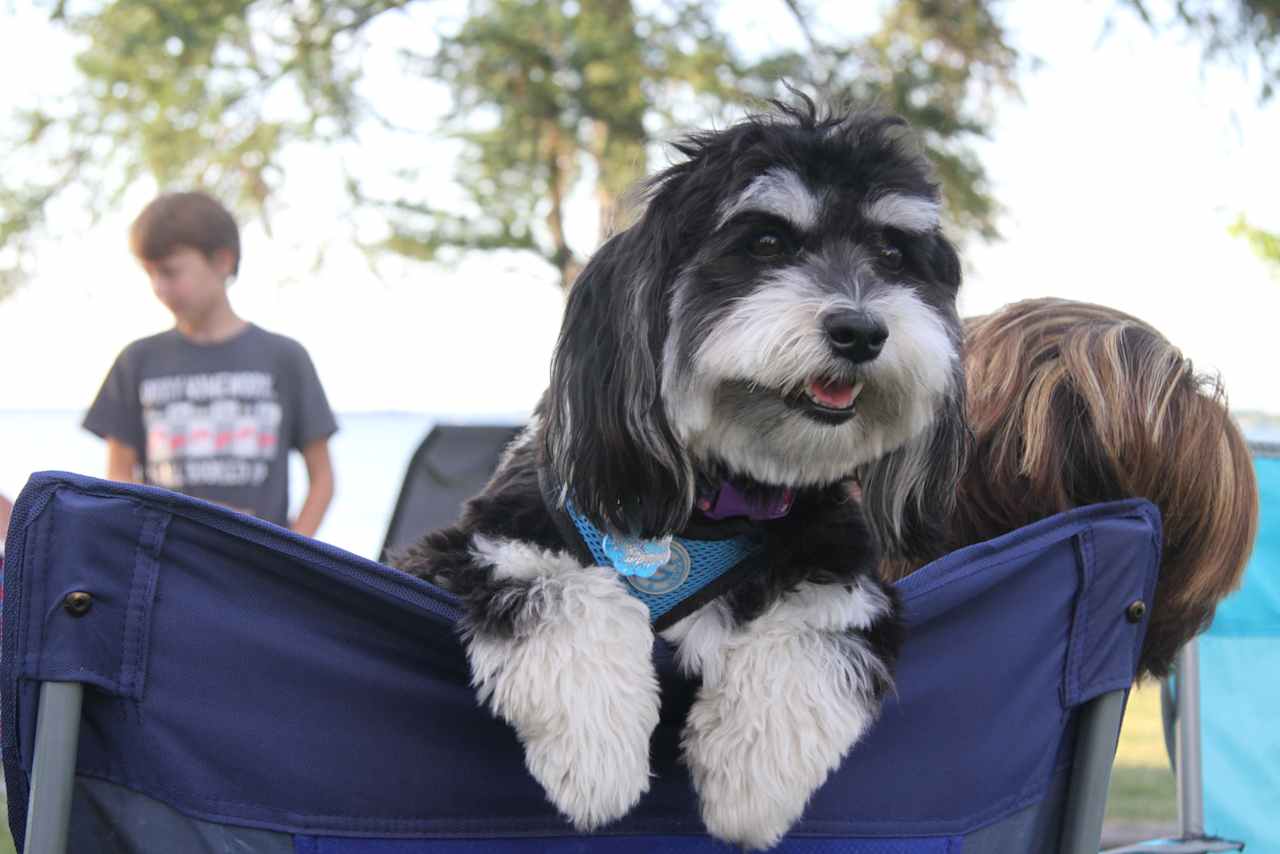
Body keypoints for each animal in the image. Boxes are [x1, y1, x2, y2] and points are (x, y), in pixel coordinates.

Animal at [399, 100, 962, 850]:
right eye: (766, 243)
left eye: (894, 255)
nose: (862, 331)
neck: (722, 495)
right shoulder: (483, 542)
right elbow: (565, 590)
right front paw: (598, 755)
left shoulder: (847, 575)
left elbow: (813, 632)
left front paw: (751, 785)